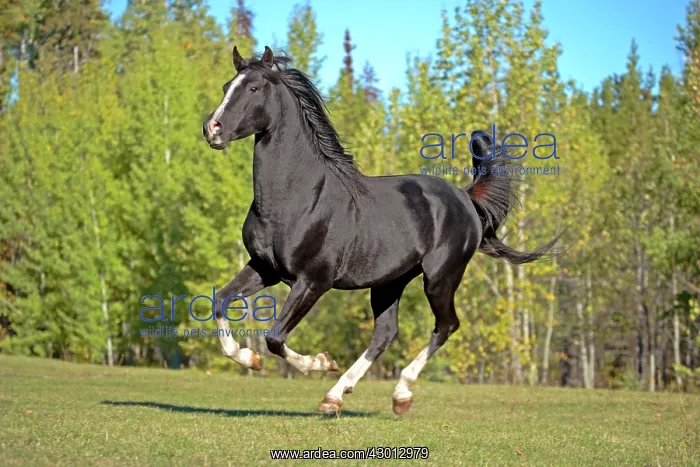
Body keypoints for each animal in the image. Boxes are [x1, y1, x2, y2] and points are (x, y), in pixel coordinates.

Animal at [201, 46, 558, 415]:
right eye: (227, 85)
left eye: (254, 88)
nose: (212, 128)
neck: (296, 198)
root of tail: (464, 198)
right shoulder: (265, 269)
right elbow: (219, 303)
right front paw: (249, 358)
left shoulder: (313, 281)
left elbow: (274, 338)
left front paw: (321, 362)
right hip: (390, 282)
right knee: (385, 333)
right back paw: (336, 396)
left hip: (440, 279)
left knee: (446, 326)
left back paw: (399, 394)